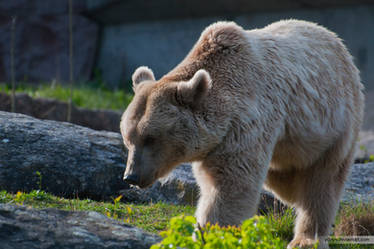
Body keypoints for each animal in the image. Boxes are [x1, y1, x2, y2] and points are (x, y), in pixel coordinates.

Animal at [120, 20, 366, 248]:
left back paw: (306, 238)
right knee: (285, 175)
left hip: (337, 123)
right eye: (128, 139)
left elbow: (229, 183)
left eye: (151, 137)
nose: (131, 176)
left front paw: (214, 234)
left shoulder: (243, 123)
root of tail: (336, 40)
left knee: (323, 182)